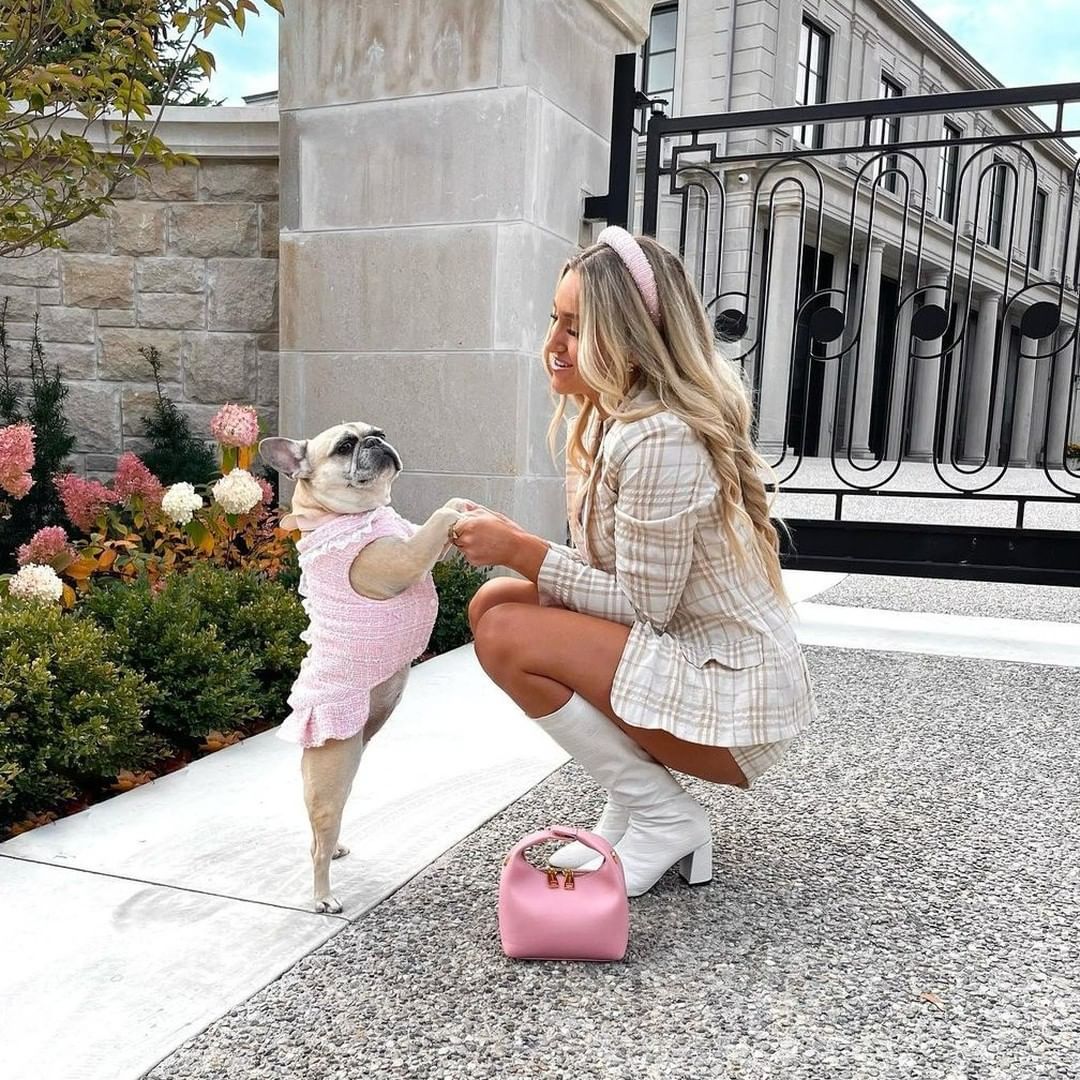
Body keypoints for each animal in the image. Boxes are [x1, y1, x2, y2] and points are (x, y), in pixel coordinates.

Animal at [260, 423, 470, 913]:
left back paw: (334, 849)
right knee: (318, 844)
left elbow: (435, 527)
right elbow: (433, 524)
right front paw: (452, 513)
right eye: (344, 447)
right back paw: (323, 897)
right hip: (333, 777)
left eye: (378, 432)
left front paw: (462, 506)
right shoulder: (402, 561)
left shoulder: (419, 549)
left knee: (319, 833)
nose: (376, 441)